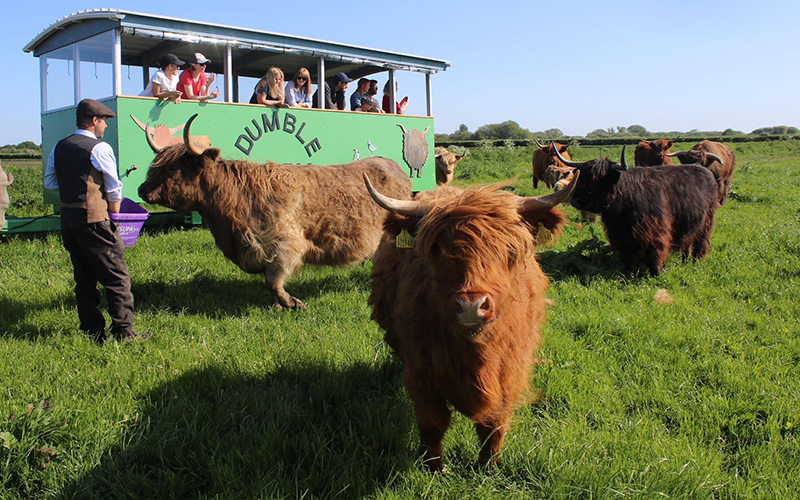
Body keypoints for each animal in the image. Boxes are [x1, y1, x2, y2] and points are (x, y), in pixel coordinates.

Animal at [138, 114, 410, 308]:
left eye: (173, 167)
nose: (142, 190)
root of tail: (391, 164)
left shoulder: (284, 245)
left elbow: (272, 281)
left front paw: (291, 303)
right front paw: (279, 305)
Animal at [366, 171, 580, 468]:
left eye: (509, 248)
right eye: (438, 248)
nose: (471, 306)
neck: (475, 354)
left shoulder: (510, 371)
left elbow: (494, 423)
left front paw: (489, 466)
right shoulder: (420, 372)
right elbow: (432, 424)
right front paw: (433, 467)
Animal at [556, 146, 720, 276]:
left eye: (596, 182)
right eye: (581, 178)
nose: (575, 200)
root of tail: (703, 169)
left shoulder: (656, 231)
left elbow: (654, 253)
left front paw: (656, 273)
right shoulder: (620, 236)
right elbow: (627, 257)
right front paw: (628, 274)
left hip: (707, 222)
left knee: (700, 243)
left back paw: (696, 262)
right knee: (687, 242)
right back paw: (684, 260)